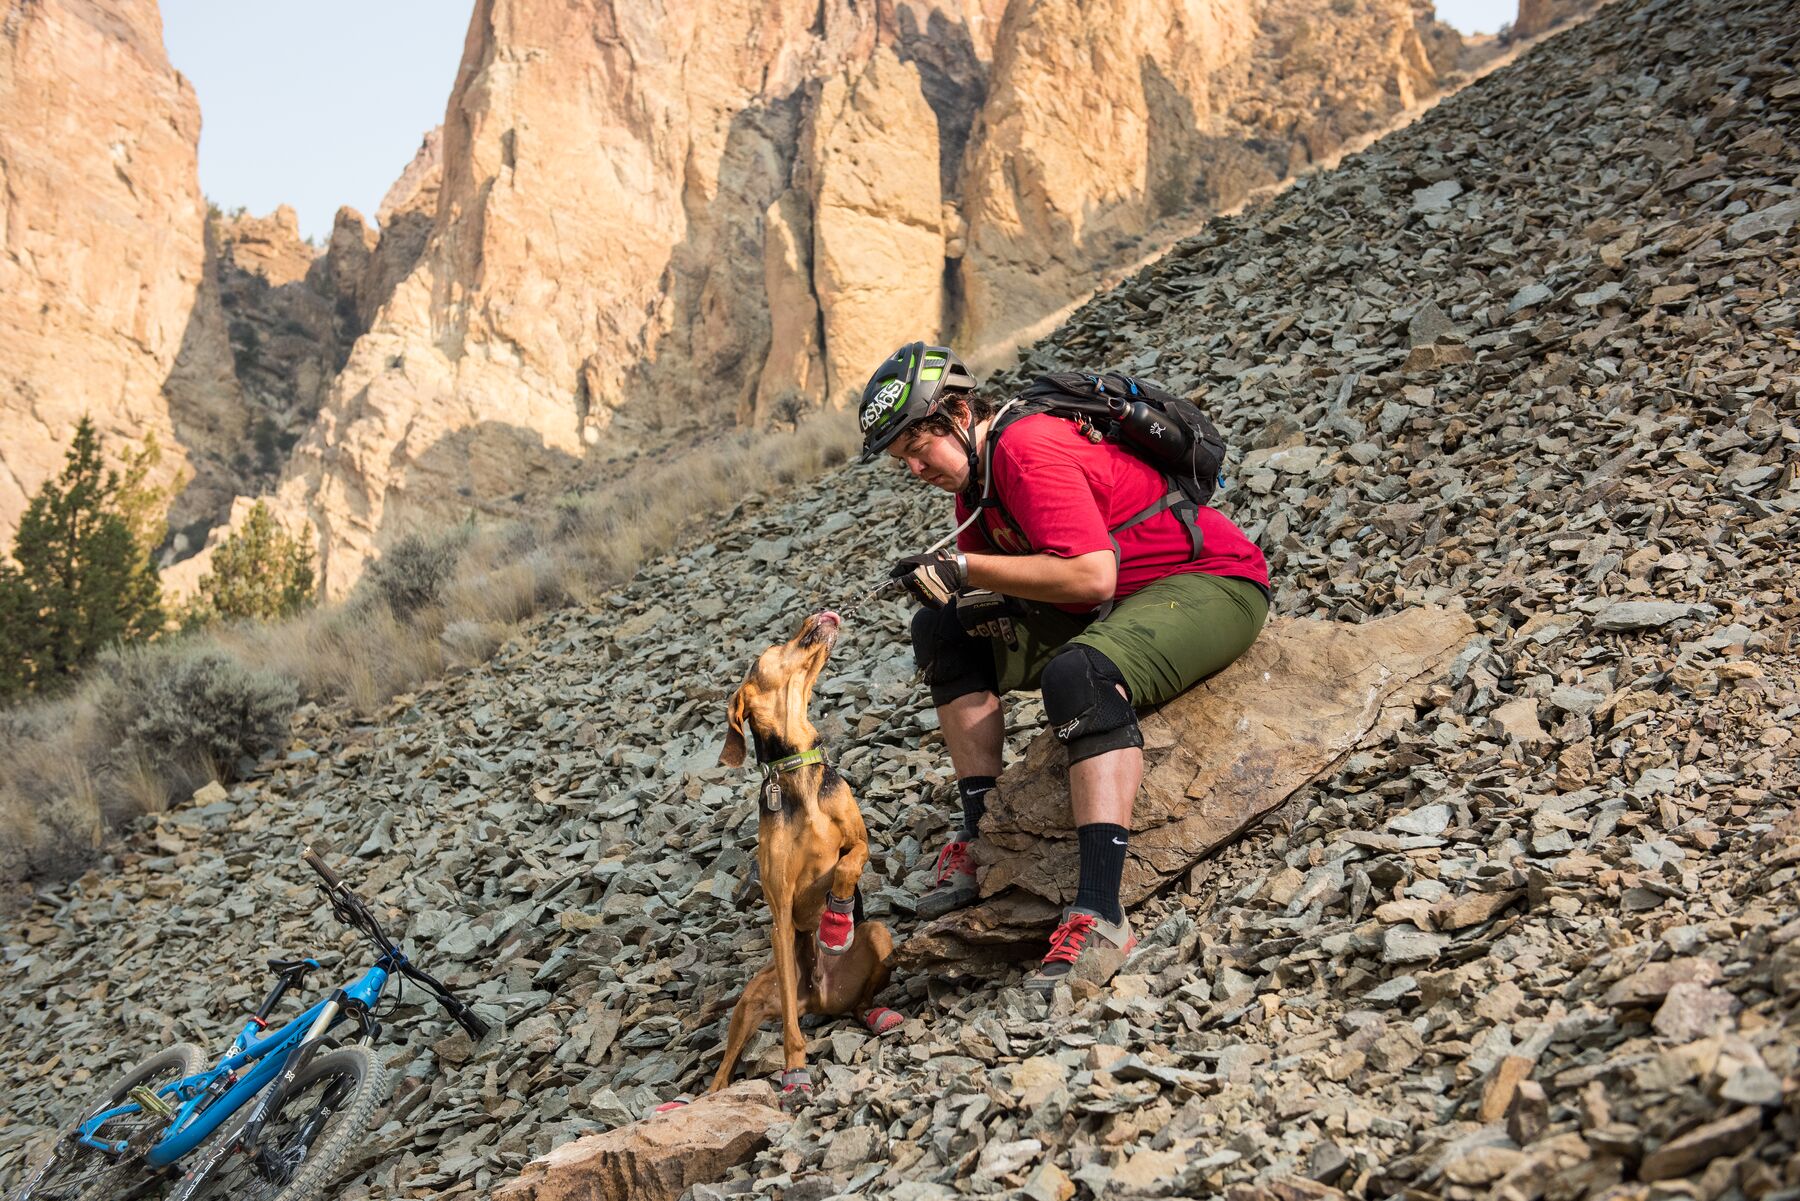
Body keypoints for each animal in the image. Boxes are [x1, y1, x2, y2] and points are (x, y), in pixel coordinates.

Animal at [705, 605, 896, 1101]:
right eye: (775, 645)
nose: (820, 613)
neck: (795, 766)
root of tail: (822, 998)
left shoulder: (858, 841)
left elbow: (848, 862)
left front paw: (835, 922)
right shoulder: (783, 910)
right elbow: (791, 1024)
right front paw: (795, 1068)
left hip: (879, 938)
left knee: (860, 1004)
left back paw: (877, 1013)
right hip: (753, 999)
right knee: (729, 1061)